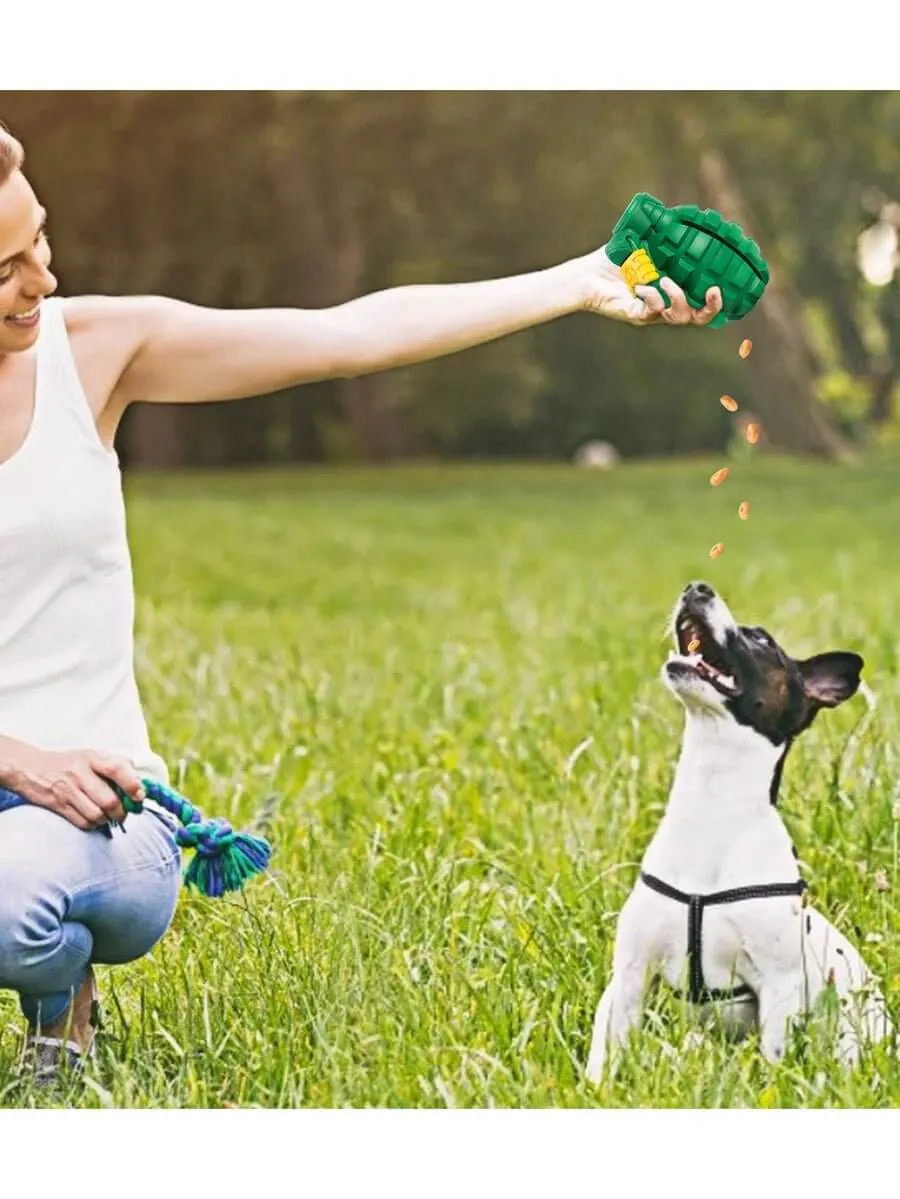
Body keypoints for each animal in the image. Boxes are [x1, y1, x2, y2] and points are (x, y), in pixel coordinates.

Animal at [587, 577, 891, 1079]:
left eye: (762, 640)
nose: (697, 586)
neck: (713, 804)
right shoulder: (630, 974)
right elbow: (605, 1051)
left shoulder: (778, 990)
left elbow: (773, 1056)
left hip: (855, 1031)